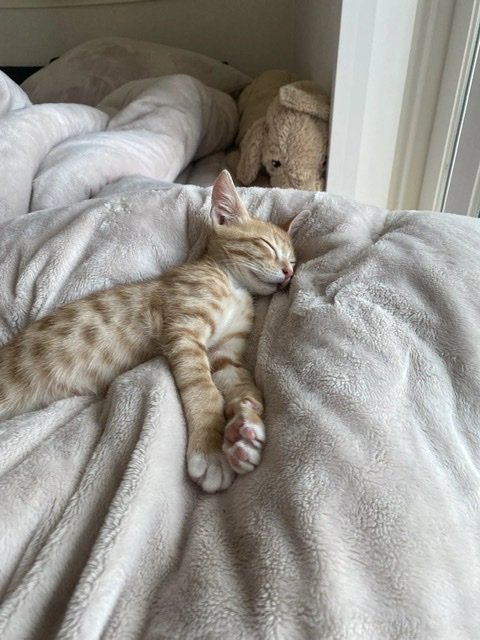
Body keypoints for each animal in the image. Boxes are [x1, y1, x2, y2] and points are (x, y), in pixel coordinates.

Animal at [0, 170, 297, 493]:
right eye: (267, 246)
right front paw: (210, 450)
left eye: (293, 260)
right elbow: (203, 391)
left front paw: (245, 426)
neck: (233, 284)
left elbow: (244, 385)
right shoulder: (183, 331)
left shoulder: (225, 353)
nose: (289, 273)